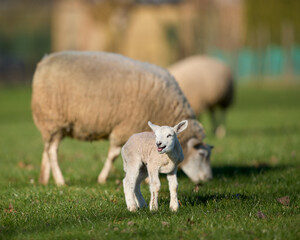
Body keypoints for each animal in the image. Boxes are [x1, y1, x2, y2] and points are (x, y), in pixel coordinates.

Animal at [31, 50, 212, 186]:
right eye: (202, 154)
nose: (209, 179)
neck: (164, 108)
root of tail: (44, 62)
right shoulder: (125, 128)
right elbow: (113, 155)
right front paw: (102, 179)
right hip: (53, 120)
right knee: (52, 152)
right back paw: (60, 181)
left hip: (49, 123)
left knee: (47, 148)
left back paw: (44, 179)